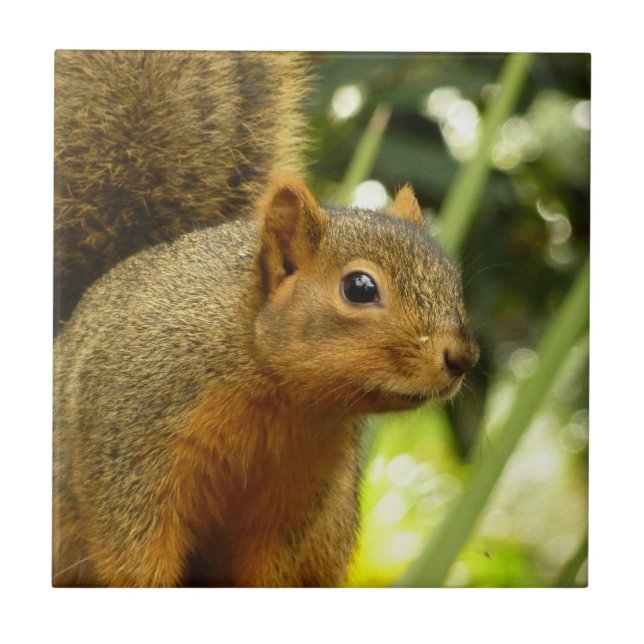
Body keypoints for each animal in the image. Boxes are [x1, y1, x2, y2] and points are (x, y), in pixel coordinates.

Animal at [53, 51, 480, 587]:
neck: (279, 399)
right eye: (360, 288)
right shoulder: (130, 449)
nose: (463, 357)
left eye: (453, 278)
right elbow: (135, 557)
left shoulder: (296, 498)